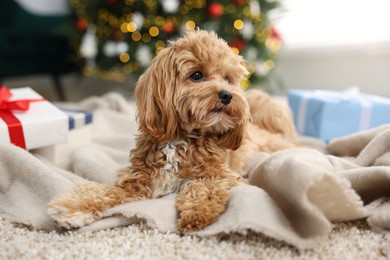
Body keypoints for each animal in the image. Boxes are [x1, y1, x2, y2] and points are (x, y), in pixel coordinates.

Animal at [48, 30, 298, 232]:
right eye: (196, 75)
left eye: (228, 78)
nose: (227, 95)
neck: (181, 138)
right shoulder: (139, 181)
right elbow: (104, 192)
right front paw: (72, 208)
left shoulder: (223, 176)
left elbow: (204, 187)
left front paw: (197, 212)